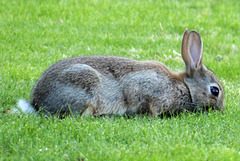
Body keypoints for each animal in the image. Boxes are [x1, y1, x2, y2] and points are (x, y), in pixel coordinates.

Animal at [16, 28, 225, 117]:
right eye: (215, 91)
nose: (221, 109)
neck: (185, 87)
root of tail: (36, 102)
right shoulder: (147, 90)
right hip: (85, 86)